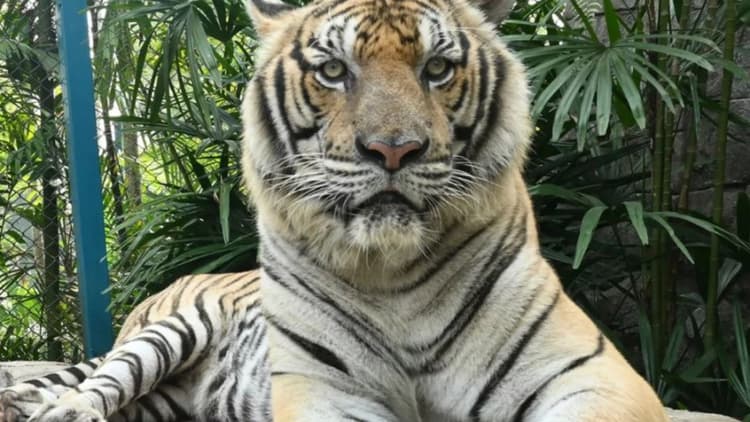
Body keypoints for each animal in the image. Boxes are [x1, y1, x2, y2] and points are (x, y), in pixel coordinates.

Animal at [0, 0, 670, 420]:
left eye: (437, 68)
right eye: (332, 71)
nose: (393, 148)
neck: (394, 275)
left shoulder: (589, 374)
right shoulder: (323, 388)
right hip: (167, 333)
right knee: (98, 382)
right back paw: (60, 411)